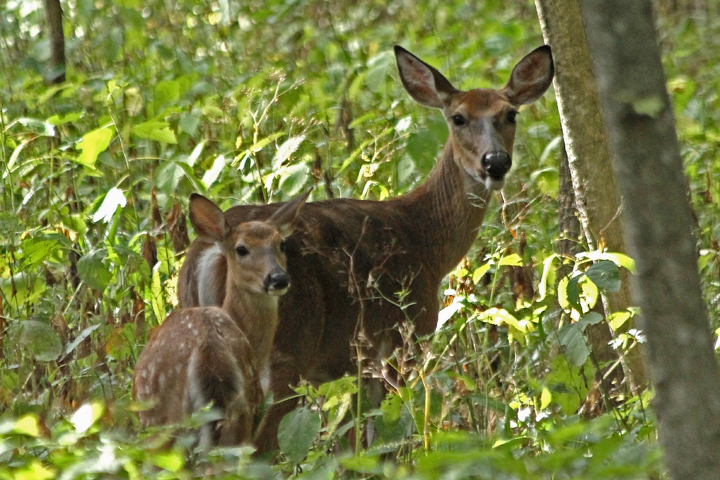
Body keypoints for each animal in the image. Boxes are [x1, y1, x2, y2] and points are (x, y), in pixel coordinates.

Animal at [177, 45, 554, 454]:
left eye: (510, 114)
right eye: (458, 118)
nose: (495, 161)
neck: (426, 241)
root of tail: (211, 252)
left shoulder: (352, 364)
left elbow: (355, 443)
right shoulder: (404, 338)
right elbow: (386, 439)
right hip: (285, 354)